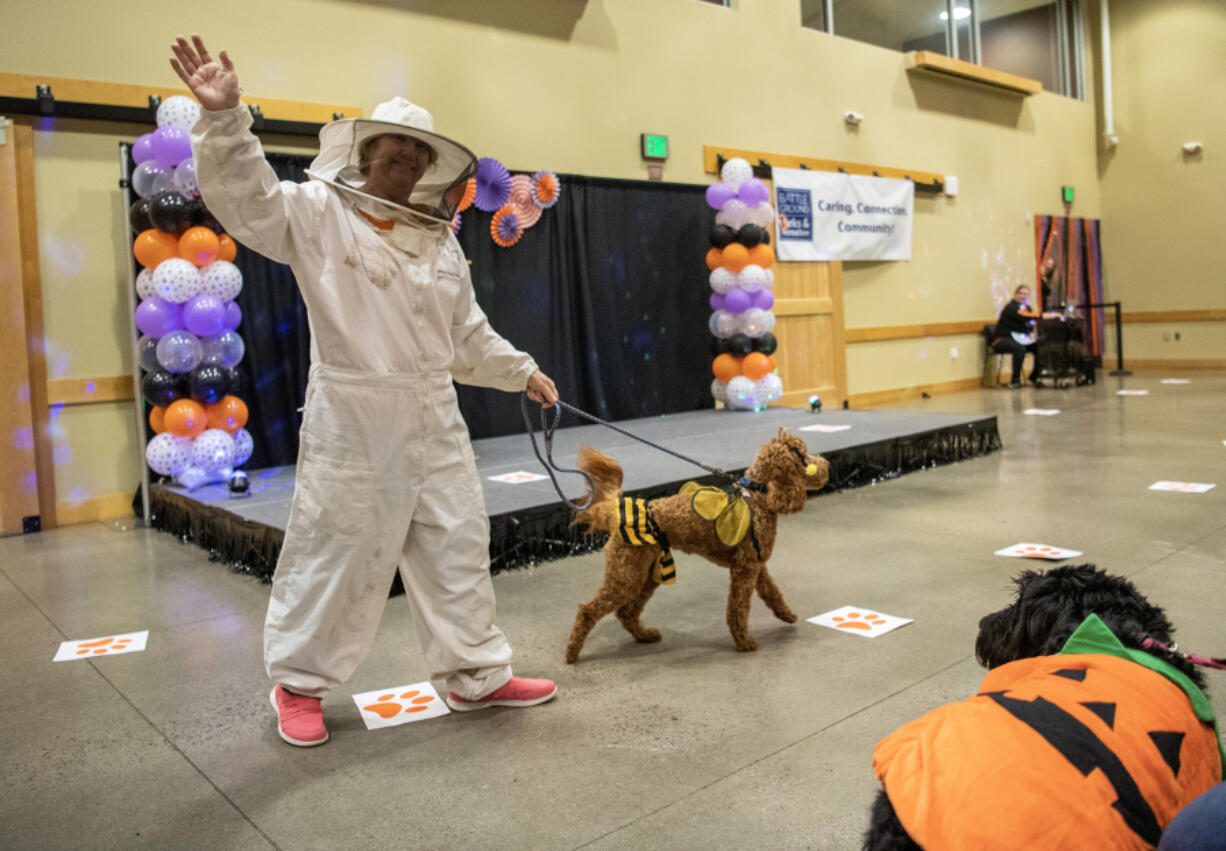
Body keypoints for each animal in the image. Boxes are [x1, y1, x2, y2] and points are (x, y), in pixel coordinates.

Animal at [566, 429, 833, 662]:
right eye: (804, 455)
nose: (826, 464)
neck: (757, 499)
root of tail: (615, 513)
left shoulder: (756, 565)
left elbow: (773, 592)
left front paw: (786, 614)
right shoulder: (745, 570)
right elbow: (738, 608)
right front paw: (744, 641)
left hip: (647, 573)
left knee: (626, 612)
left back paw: (645, 635)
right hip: (627, 574)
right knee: (588, 610)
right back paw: (572, 653)